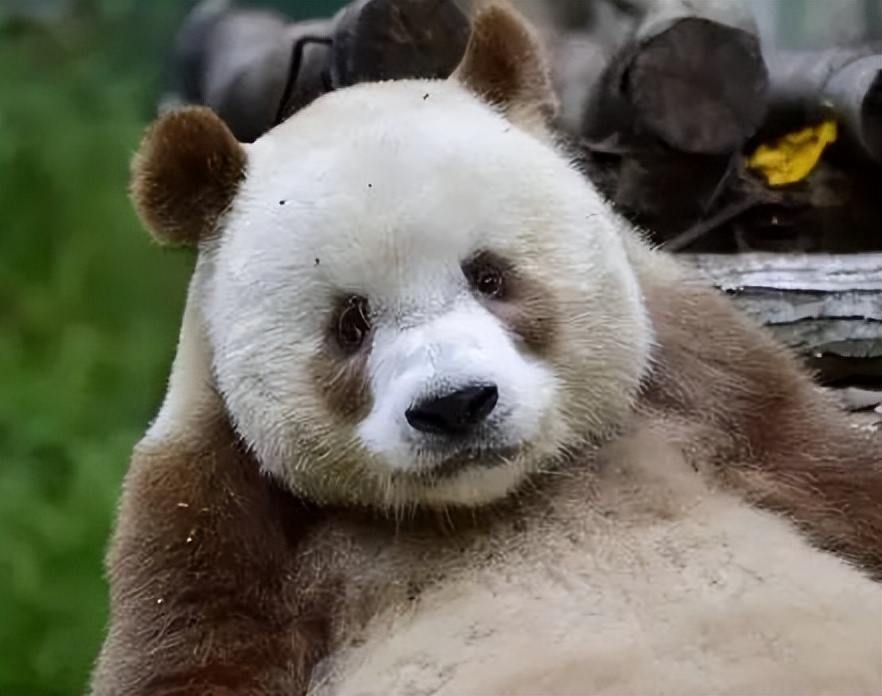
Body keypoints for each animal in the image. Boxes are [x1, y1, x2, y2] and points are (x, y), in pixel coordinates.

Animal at [90, 5, 881, 695]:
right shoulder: (211, 513)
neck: (493, 497)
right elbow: (192, 655)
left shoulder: (714, 390)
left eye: (490, 275)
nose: (456, 406)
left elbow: (829, 470)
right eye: (350, 324)